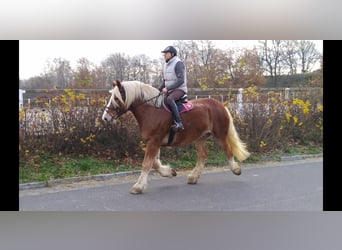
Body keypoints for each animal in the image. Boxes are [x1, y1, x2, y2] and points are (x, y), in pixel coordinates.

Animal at [103, 80, 250, 193]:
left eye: (116, 98)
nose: (105, 118)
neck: (152, 111)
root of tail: (220, 104)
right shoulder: (154, 142)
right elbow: (154, 163)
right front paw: (169, 172)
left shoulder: (154, 142)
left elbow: (146, 164)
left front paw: (138, 187)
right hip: (200, 138)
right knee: (203, 156)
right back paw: (193, 177)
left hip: (220, 134)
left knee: (228, 151)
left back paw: (236, 169)